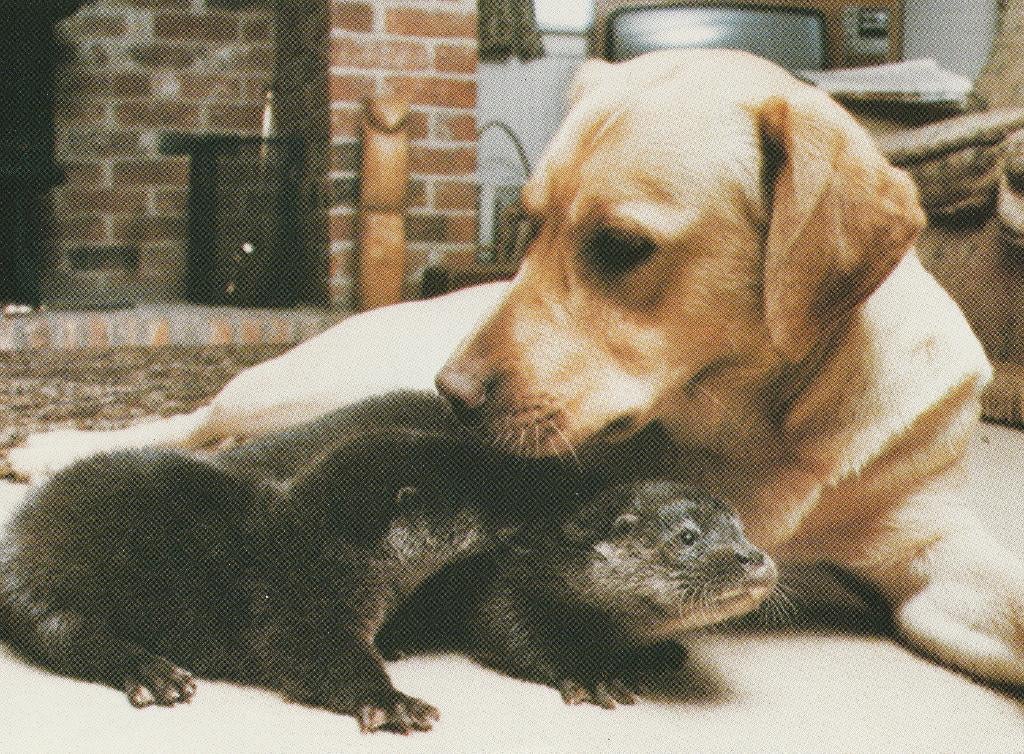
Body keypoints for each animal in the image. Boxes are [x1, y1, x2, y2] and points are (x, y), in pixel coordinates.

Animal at [377, 480, 777, 707]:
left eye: (741, 529)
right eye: (687, 536)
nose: (753, 557)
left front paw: (658, 652)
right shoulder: (504, 581)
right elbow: (507, 632)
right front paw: (589, 676)